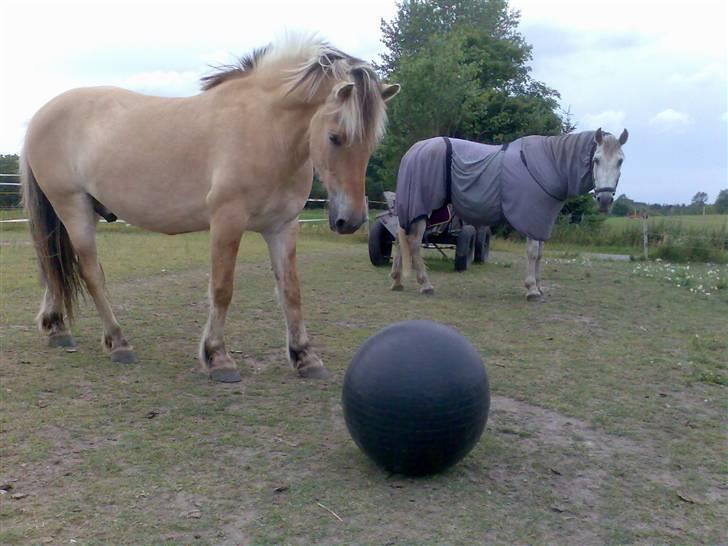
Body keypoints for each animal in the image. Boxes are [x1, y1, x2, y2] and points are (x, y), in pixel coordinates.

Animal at [21, 35, 398, 378]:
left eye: (371, 143)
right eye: (336, 137)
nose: (350, 220)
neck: (264, 127)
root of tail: (40, 115)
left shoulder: (282, 226)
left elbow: (291, 291)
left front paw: (305, 356)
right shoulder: (227, 221)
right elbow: (222, 288)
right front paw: (218, 357)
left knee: (53, 263)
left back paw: (57, 328)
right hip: (72, 207)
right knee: (90, 273)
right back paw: (119, 342)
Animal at [392, 129, 624, 298]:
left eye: (620, 160)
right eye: (596, 159)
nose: (605, 200)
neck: (549, 165)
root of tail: (414, 150)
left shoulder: (541, 221)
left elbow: (540, 254)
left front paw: (538, 286)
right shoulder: (532, 218)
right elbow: (532, 252)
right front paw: (532, 289)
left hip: (415, 210)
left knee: (400, 238)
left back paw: (396, 281)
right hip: (422, 210)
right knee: (413, 243)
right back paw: (425, 284)